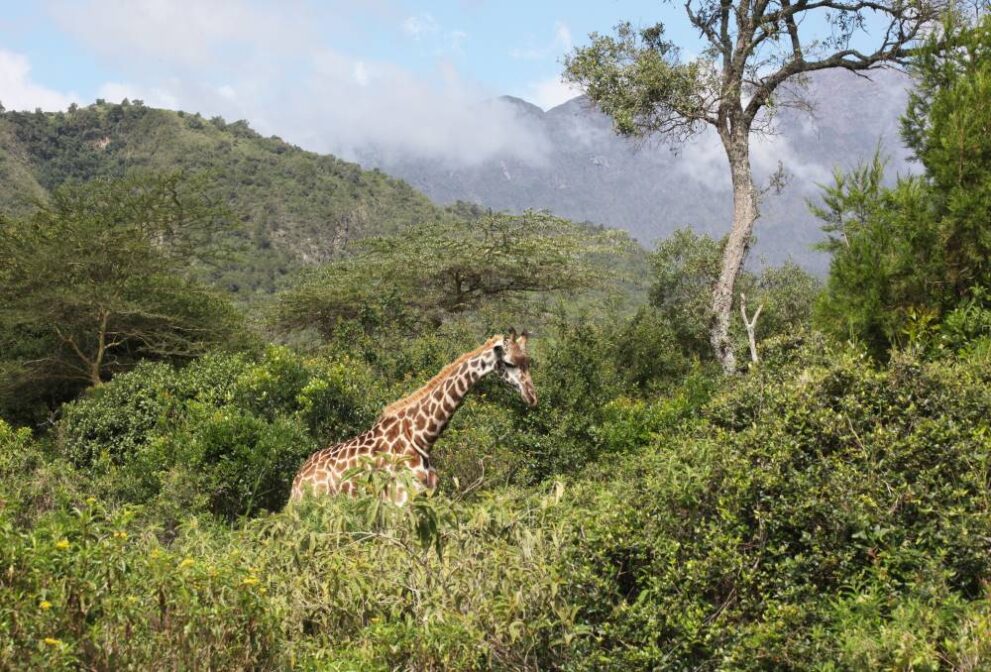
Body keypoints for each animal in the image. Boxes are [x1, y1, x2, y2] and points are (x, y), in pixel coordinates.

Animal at [290, 329, 536, 503]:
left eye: (528, 362)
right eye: (509, 363)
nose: (532, 396)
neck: (422, 437)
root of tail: (297, 480)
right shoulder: (398, 502)